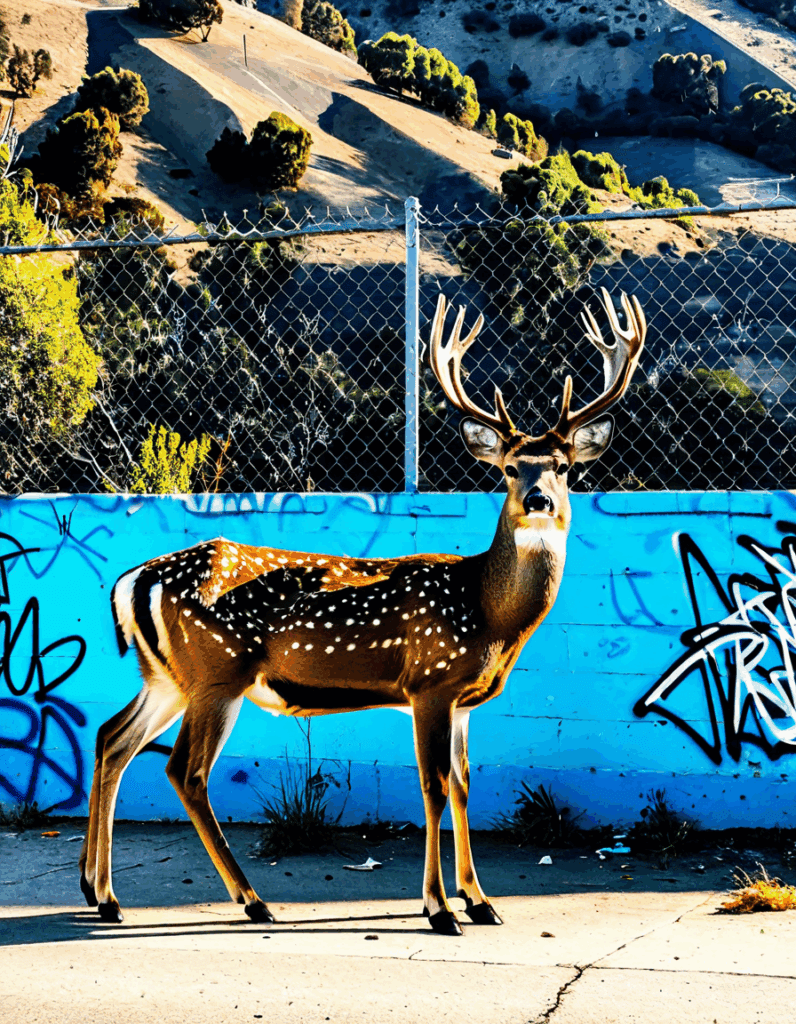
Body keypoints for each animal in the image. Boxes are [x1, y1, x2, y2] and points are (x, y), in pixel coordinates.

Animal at [78, 288, 645, 936]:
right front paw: (438, 909)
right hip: (217, 672)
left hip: (169, 677)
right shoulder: (429, 681)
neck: (488, 614)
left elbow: (464, 787)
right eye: (508, 467)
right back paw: (251, 900)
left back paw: (101, 894)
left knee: (111, 737)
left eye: (565, 466)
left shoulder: (463, 700)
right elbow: (433, 786)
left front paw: (481, 902)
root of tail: (134, 578)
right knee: (184, 771)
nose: (539, 500)